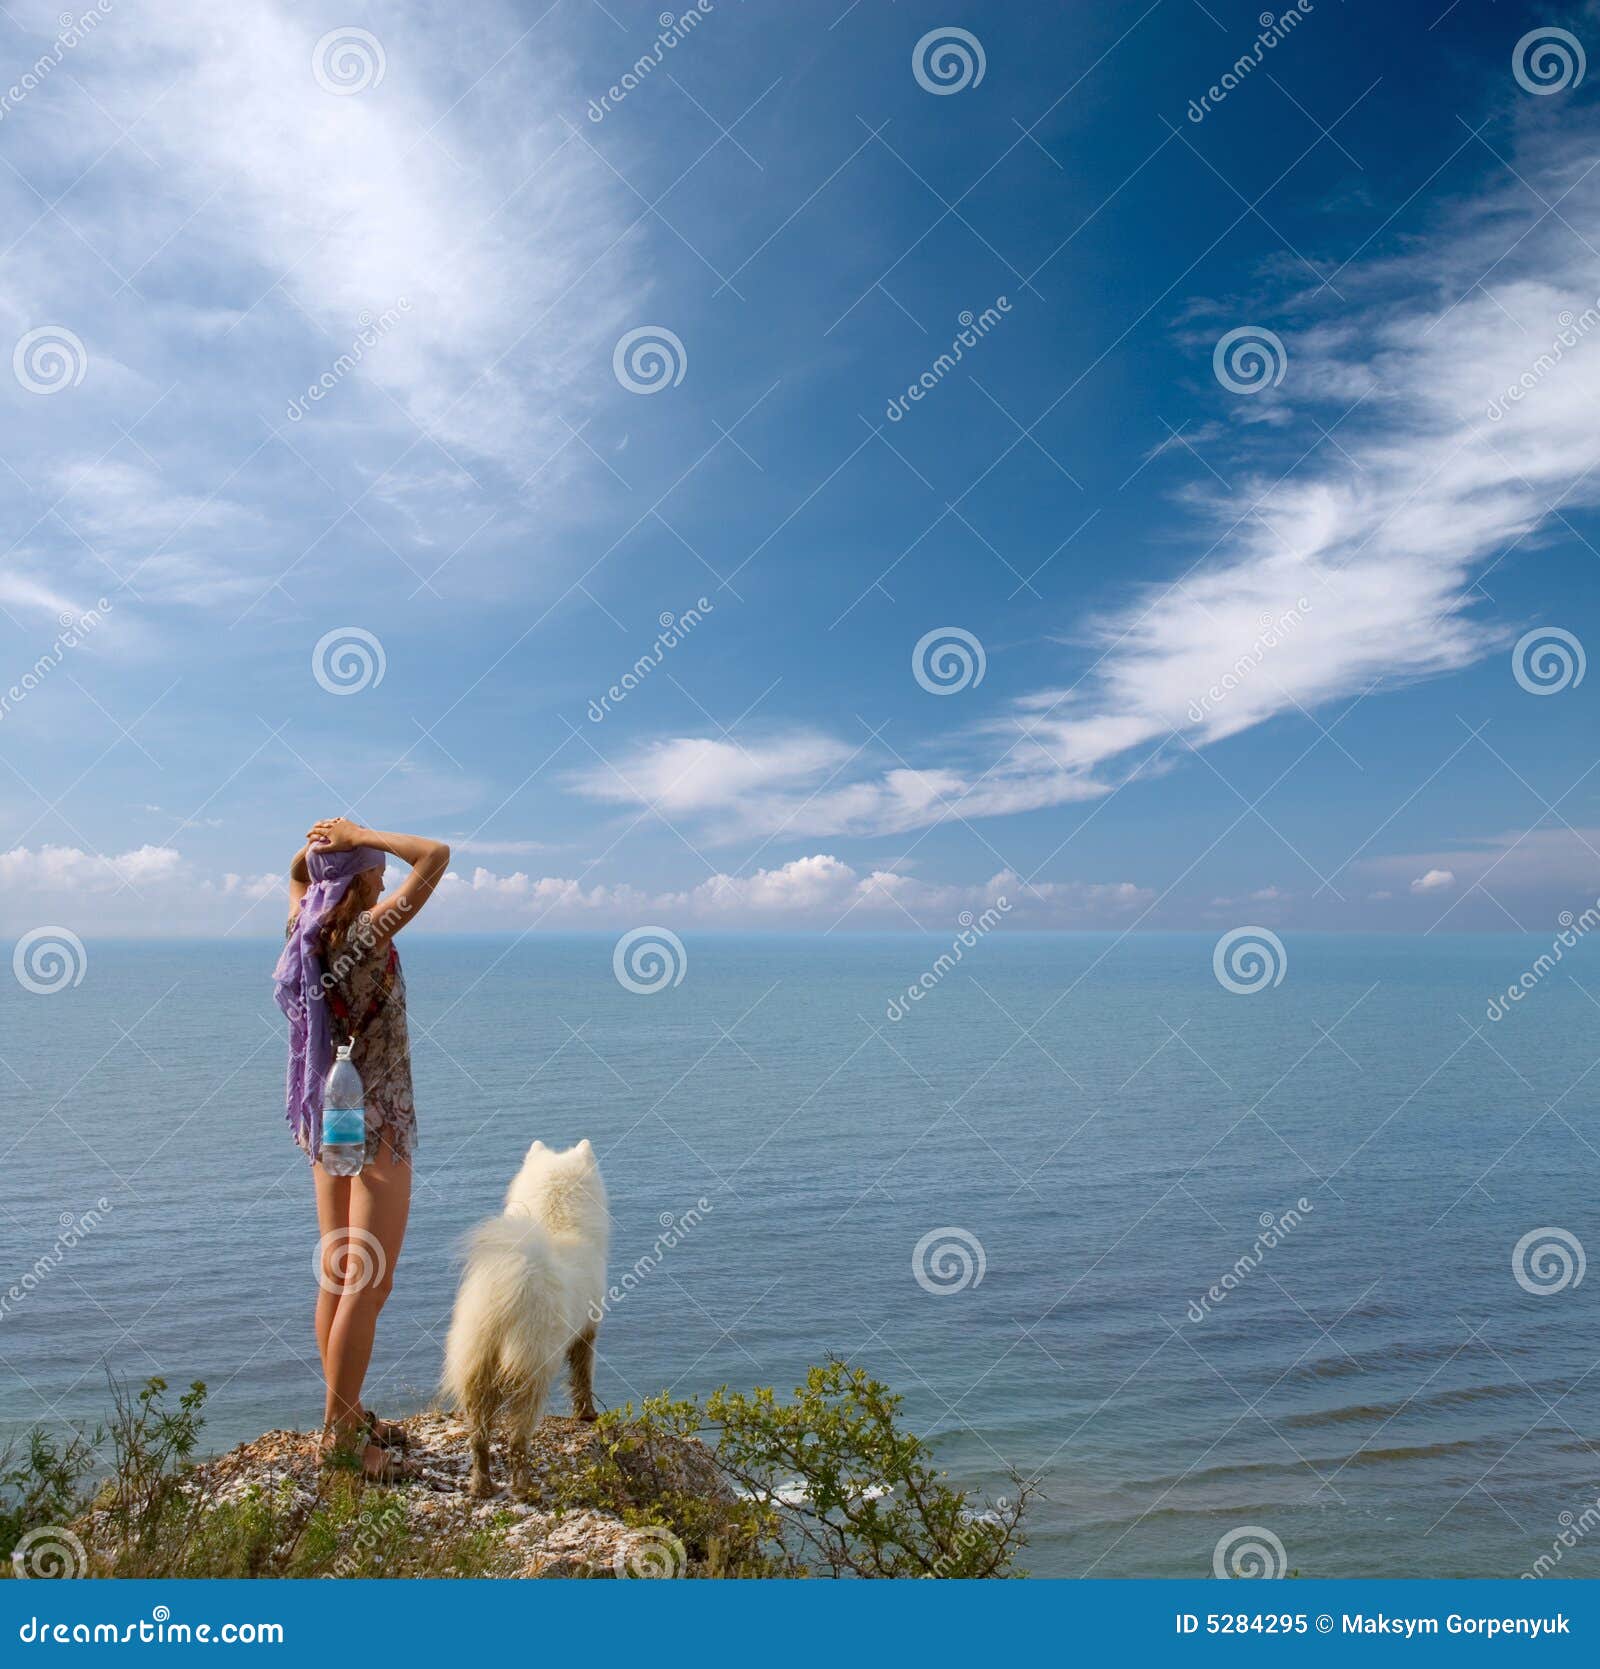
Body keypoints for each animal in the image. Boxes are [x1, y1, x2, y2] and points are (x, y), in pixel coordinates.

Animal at [440, 1134, 610, 1502]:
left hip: (477, 1366)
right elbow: (583, 1377)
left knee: (479, 1438)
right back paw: (523, 1487)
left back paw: (482, 1486)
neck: (557, 1221)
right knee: (518, 1438)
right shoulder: (587, 1331)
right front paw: (587, 1415)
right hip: (532, 1370)